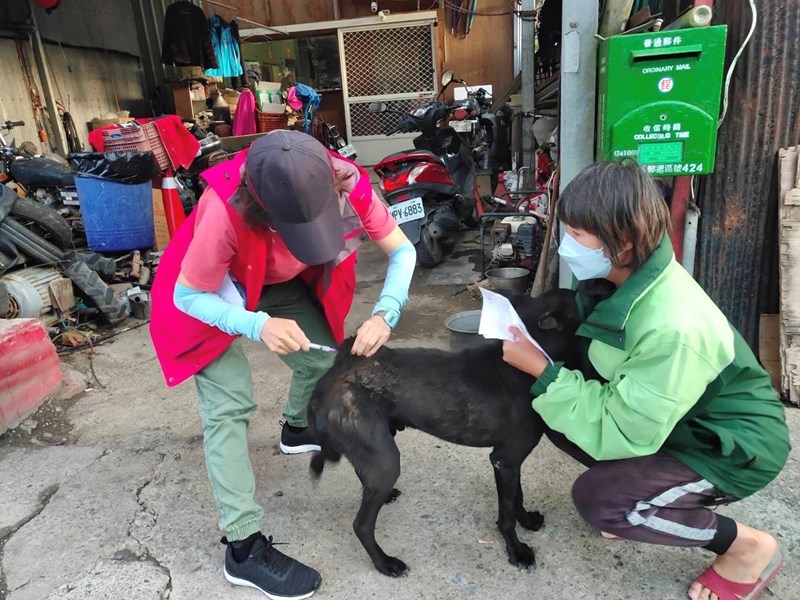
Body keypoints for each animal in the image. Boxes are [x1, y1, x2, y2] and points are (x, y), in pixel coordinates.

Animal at [310, 286, 608, 576]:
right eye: (581, 295)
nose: (602, 285)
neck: (524, 364)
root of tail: (343, 365)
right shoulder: (505, 459)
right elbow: (507, 513)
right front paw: (516, 551)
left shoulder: (511, 461)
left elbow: (517, 497)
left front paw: (526, 520)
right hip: (386, 462)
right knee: (361, 525)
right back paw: (385, 564)